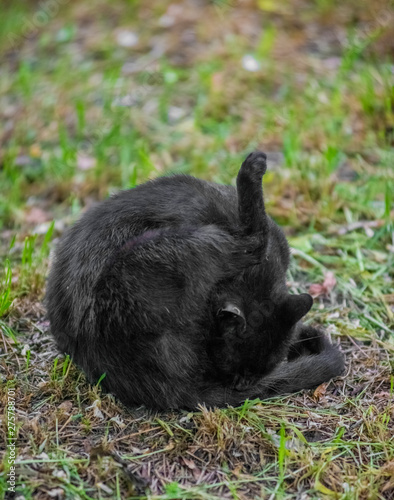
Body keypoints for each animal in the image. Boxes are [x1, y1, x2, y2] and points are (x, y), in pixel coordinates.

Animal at [45, 150, 342, 408]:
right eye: (234, 367)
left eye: (262, 371)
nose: (241, 386)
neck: (258, 275)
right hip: (163, 248)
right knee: (253, 240)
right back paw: (253, 168)